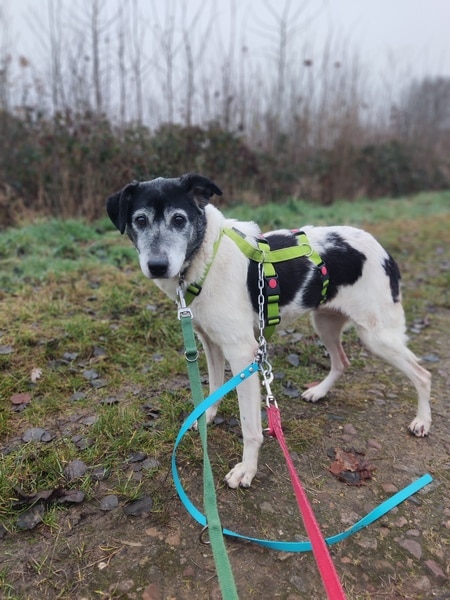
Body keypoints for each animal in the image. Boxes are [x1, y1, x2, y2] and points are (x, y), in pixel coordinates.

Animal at [106, 173, 432, 489]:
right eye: (140, 220)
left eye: (178, 219)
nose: (157, 265)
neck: (207, 255)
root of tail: (382, 250)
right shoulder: (210, 342)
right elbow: (213, 388)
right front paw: (207, 416)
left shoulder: (243, 355)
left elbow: (250, 426)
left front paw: (246, 470)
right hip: (325, 322)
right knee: (342, 361)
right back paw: (319, 392)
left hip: (376, 335)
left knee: (423, 374)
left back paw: (422, 421)